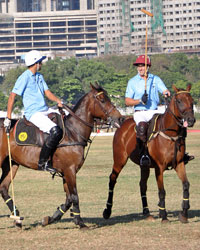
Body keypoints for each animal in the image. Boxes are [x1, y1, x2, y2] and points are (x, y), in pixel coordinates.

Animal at [0, 83, 122, 229]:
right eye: (103, 100)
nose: (120, 118)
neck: (73, 132)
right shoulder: (70, 170)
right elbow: (74, 196)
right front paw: (80, 222)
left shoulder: (65, 172)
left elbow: (68, 198)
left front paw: (50, 219)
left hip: (11, 164)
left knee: (3, 188)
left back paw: (17, 219)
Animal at [103, 84, 195, 223]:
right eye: (179, 101)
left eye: (192, 101)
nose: (191, 120)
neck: (170, 134)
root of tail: (122, 123)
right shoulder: (159, 167)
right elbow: (162, 191)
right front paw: (163, 215)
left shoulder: (179, 163)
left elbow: (186, 185)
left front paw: (184, 213)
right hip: (119, 159)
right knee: (112, 179)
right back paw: (107, 211)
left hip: (144, 165)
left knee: (142, 184)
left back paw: (147, 213)